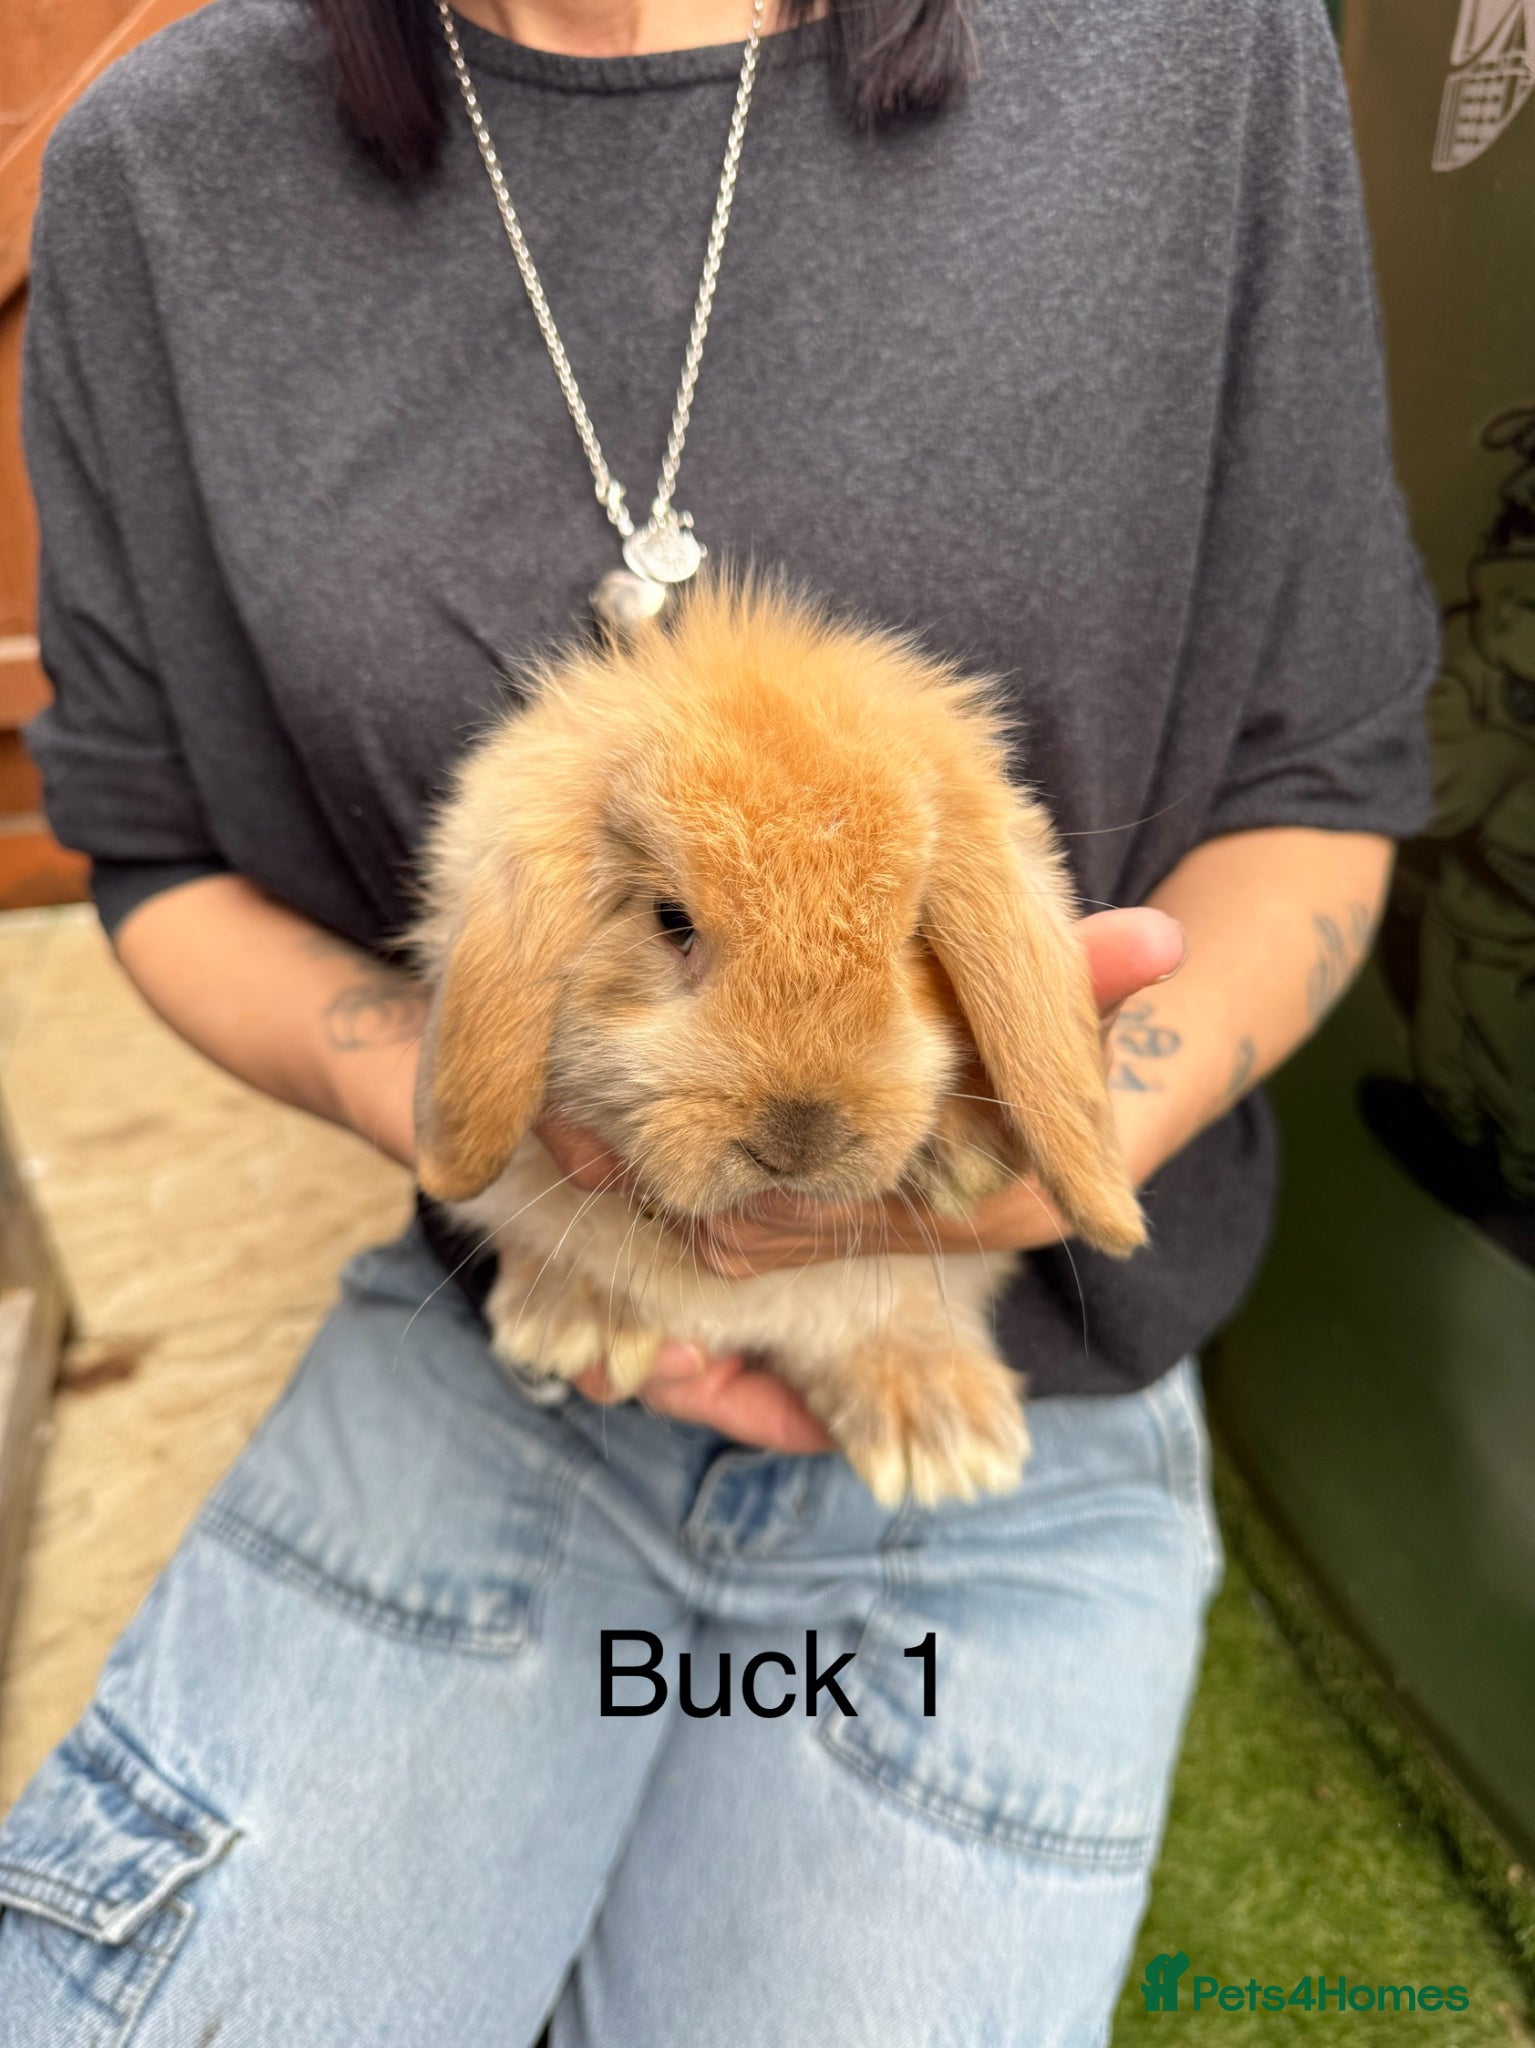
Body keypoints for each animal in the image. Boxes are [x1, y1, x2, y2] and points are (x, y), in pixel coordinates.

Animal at [412, 578, 1145, 1508]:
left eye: (912, 933)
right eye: (671, 920)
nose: (798, 1142)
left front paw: (964, 1160)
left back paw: (939, 1434)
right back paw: (572, 1321)